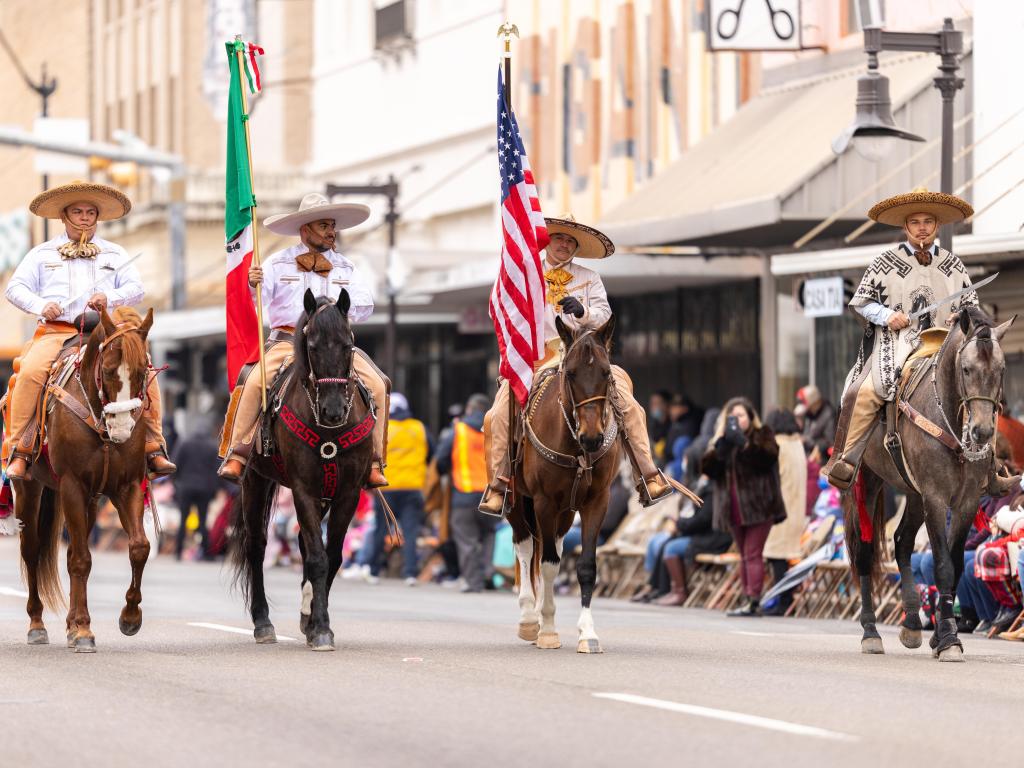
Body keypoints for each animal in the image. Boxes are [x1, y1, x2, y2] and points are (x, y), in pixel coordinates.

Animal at [15, 303, 155, 651]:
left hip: (91, 499)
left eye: (143, 372)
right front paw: (82, 630)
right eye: (108, 370)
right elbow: (81, 559)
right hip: (28, 489)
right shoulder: (72, 485)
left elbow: (139, 547)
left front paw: (129, 617)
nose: (122, 428)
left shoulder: (127, 485)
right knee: (32, 550)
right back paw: (37, 624)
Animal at [230, 288, 378, 651]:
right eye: (312, 346)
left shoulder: (347, 493)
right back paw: (263, 623)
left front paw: (314, 621)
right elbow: (317, 558)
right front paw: (322, 628)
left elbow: (332, 556)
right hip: (255, 480)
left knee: (300, 542)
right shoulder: (303, 490)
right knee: (257, 546)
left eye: (348, 345)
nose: (333, 410)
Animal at [507, 317, 618, 655]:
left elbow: (585, 566)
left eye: (606, 372)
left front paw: (588, 633)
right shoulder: (543, 501)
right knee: (526, 547)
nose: (592, 437)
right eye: (570, 373)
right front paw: (547, 631)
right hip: (517, 502)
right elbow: (547, 565)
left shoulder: (596, 501)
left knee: (552, 545)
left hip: (566, 512)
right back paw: (529, 619)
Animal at [843, 307, 1011, 663]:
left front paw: (939, 635)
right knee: (864, 550)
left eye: (1001, 370)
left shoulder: (965, 502)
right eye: (966, 369)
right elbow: (943, 565)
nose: (982, 432)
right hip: (869, 480)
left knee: (902, 542)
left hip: (912, 493)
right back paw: (871, 633)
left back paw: (910, 623)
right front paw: (949, 640)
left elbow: (956, 565)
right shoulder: (935, 497)